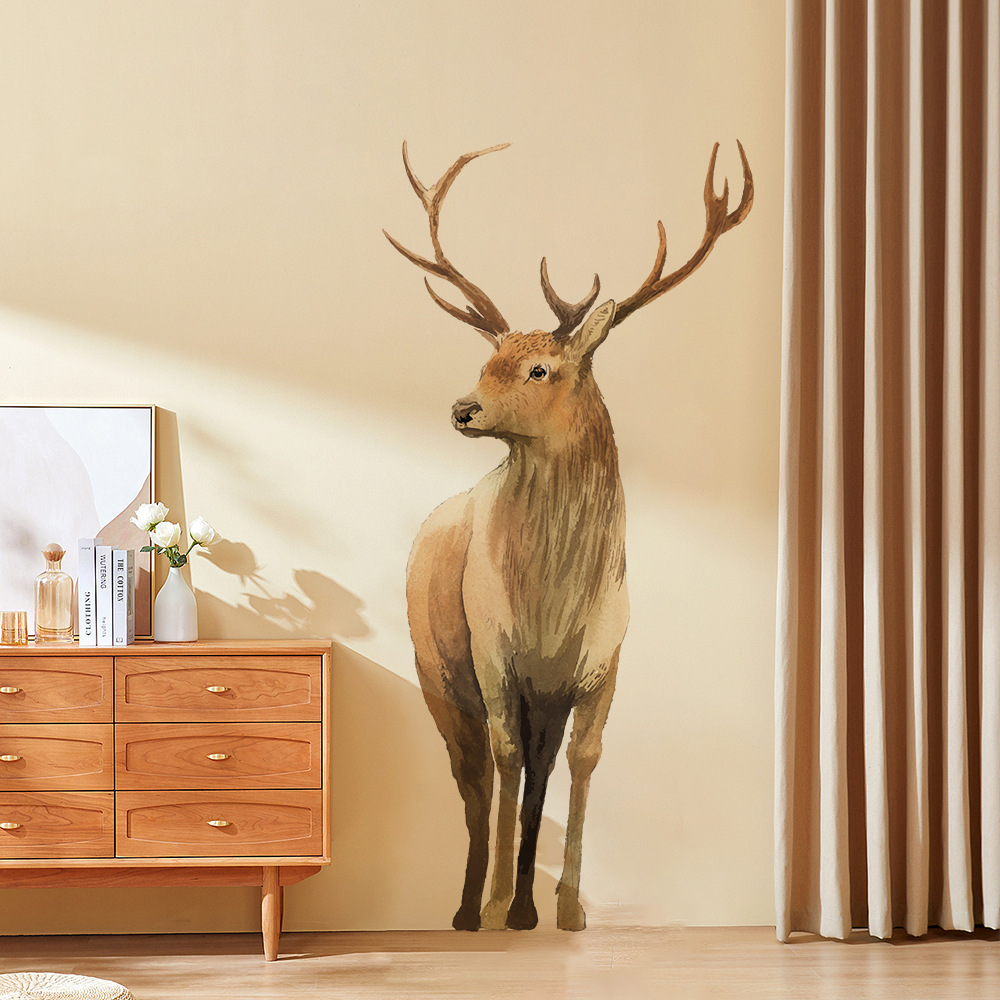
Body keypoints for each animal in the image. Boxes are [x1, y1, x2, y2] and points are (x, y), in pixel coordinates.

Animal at [385, 140, 752, 932]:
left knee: (534, 776)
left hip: (538, 698)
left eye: (539, 368)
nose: (462, 409)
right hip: (436, 676)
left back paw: (522, 907)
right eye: (487, 360)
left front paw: (567, 908)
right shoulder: (494, 654)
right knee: (473, 779)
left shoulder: (600, 664)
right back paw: (469, 909)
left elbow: (582, 762)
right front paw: (498, 900)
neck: (552, 605)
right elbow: (503, 761)